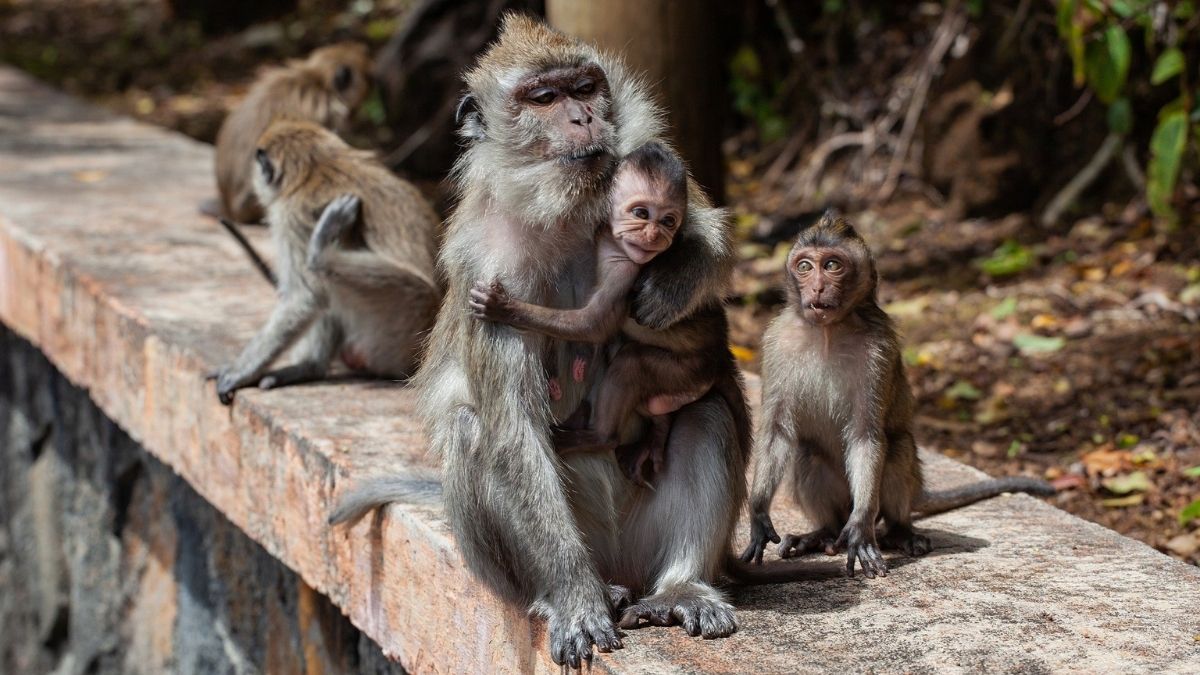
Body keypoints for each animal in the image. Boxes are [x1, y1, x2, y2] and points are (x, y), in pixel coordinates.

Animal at [211, 119, 441, 403]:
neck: (318, 165)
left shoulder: (291, 216)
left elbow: (305, 298)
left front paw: (241, 372)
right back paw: (310, 368)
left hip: (400, 326)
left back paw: (321, 254)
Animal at [465, 139, 729, 480]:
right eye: (641, 213)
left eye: (668, 221)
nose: (654, 235)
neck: (612, 242)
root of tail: (720, 356)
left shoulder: (625, 270)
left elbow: (594, 325)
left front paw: (504, 309)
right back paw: (657, 433)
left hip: (688, 371)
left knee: (631, 364)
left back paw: (601, 437)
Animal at [734, 212, 1056, 576]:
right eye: (804, 266)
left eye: (831, 265)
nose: (816, 287)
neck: (829, 330)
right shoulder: (776, 341)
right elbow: (776, 430)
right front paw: (759, 514)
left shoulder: (880, 348)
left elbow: (866, 434)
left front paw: (860, 528)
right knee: (808, 453)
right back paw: (822, 534)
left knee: (897, 447)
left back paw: (899, 531)